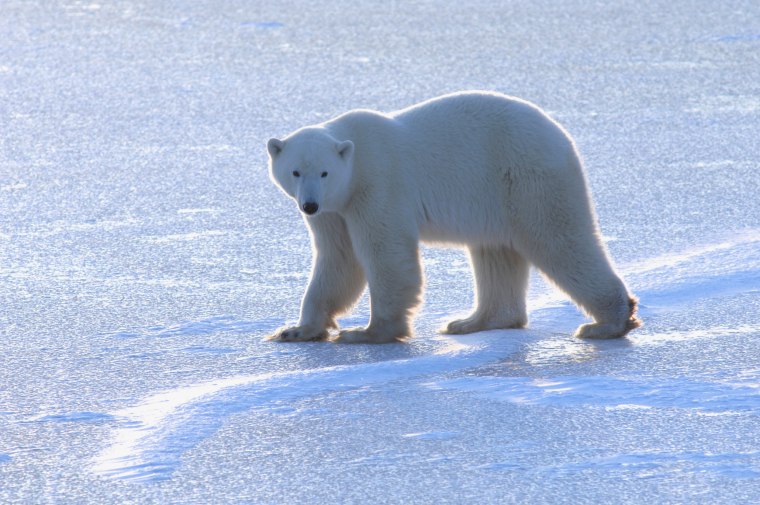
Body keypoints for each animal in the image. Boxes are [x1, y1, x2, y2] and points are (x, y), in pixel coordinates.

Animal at [268, 90, 640, 342]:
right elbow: (339, 259)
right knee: (495, 254)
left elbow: (385, 254)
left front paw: (369, 332)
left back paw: (608, 322)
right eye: (295, 171)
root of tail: (563, 137)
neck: (355, 159)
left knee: (559, 240)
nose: (309, 205)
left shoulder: (377, 186)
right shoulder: (336, 210)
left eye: (325, 172)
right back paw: (471, 322)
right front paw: (296, 330)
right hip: (495, 198)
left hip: (526, 178)